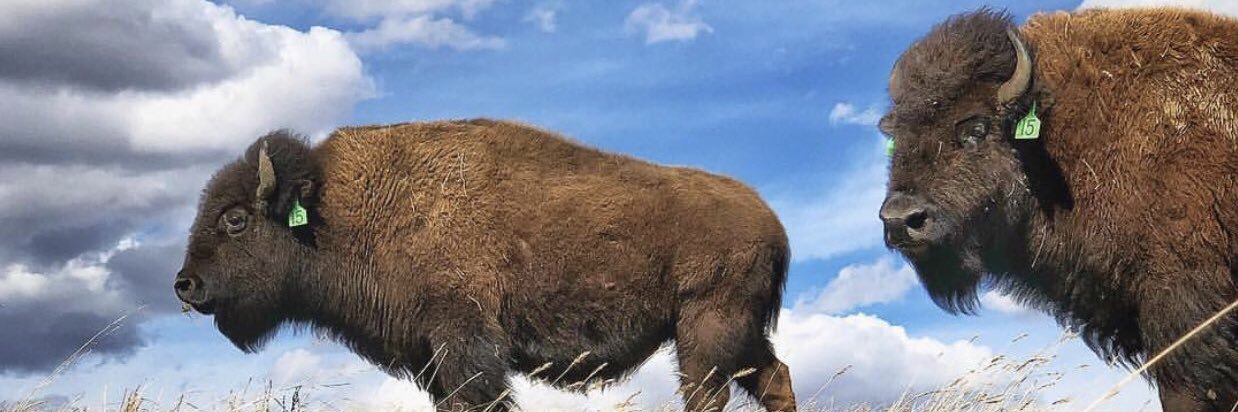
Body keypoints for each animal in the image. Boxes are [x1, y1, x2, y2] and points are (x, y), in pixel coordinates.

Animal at [174, 120, 797, 411]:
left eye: (235, 220)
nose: (185, 284)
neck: (339, 211)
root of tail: (771, 221)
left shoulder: (465, 343)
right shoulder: (432, 358)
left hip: (705, 328)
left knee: (709, 393)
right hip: (736, 333)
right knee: (775, 378)